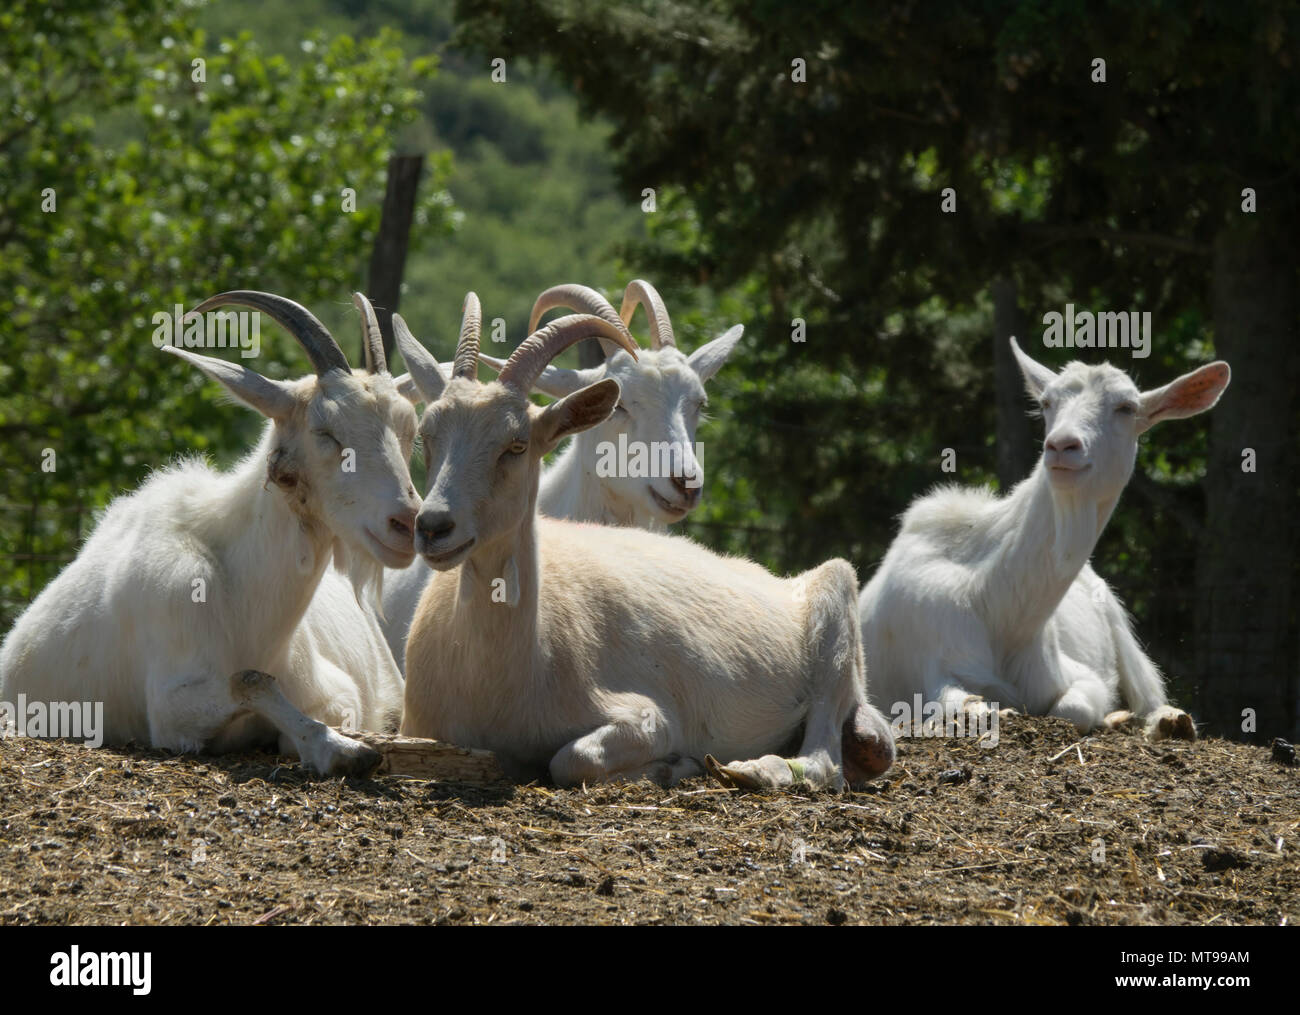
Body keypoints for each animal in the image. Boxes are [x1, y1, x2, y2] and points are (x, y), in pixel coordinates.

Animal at [0, 288, 418, 774]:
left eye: (408, 430)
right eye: (326, 432)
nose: (406, 523)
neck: (250, 609)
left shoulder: (339, 691)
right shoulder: (169, 710)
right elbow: (249, 681)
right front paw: (342, 750)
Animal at [863, 335, 1227, 738]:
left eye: (1127, 407)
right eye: (1046, 403)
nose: (1062, 445)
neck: (1000, 609)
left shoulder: (1074, 674)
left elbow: (1074, 706)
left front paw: (1109, 715)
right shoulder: (936, 657)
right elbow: (968, 706)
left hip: (1121, 630)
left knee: (1149, 696)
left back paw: (1167, 720)